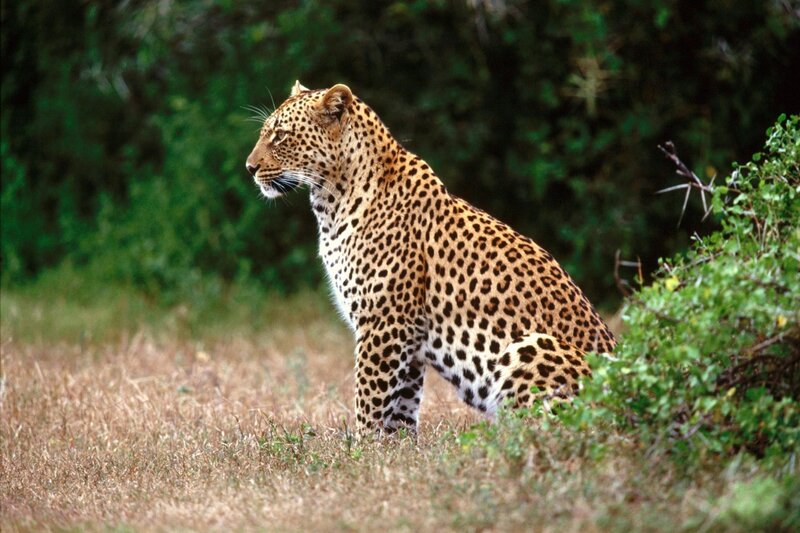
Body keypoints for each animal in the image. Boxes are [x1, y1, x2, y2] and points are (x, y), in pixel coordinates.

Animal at [245, 81, 616, 436]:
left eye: (280, 135)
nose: (249, 167)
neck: (331, 202)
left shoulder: (384, 324)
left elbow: (369, 401)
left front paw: (360, 451)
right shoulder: (407, 339)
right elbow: (400, 410)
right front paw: (393, 454)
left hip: (534, 347)